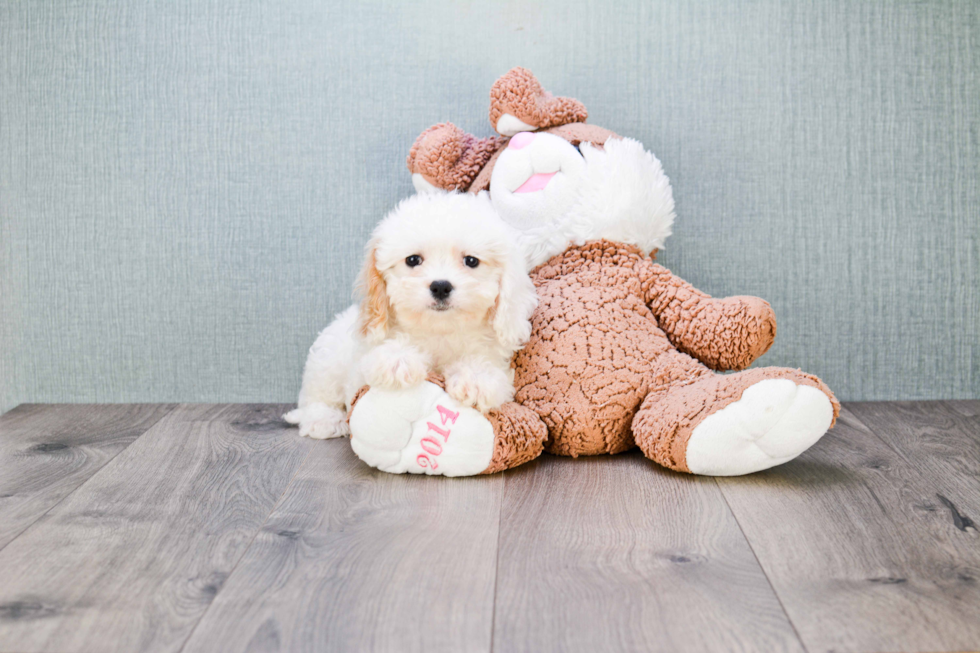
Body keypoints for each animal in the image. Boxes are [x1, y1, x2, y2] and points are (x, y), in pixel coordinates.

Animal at [284, 191, 536, 440]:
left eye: (471, 261)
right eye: (413, 260)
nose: (441, 286)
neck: (439, 331)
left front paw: (476, 377)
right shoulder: (360, 367)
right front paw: (397, 358)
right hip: (326, 359)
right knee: (316, 397)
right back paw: (325, 420)